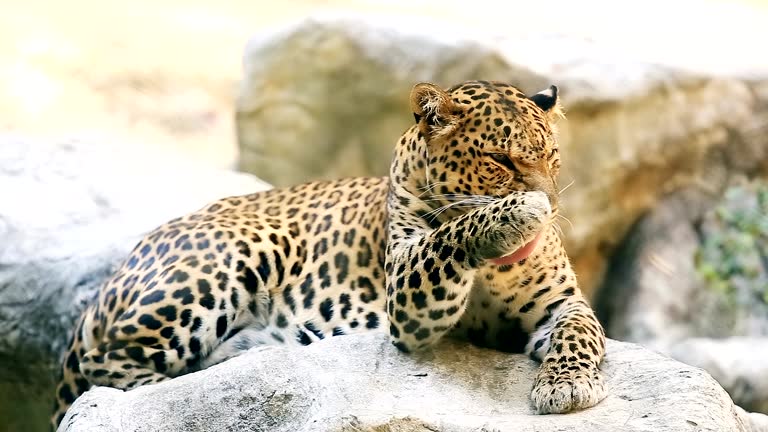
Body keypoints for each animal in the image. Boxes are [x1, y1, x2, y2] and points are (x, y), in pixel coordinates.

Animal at [52, 79, 606, 429]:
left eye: (553, 159)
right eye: (500, 161)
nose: (551, 205)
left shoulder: (562, 302)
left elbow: (582, 333)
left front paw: (569, 385)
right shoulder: (409, 300)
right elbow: (446, 236)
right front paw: (513, 214)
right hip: (235, 253)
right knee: (110, 375)